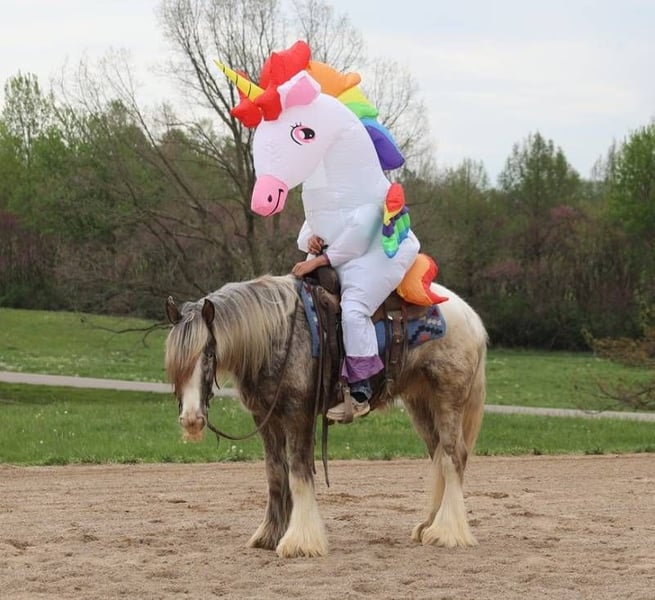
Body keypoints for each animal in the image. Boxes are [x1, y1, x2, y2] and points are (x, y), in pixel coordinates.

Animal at [165, 273, 487, 557]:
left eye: (208, 354)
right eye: (172, 363)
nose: (191, 420)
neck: (276, 336)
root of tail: (471, 317)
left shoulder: (298, 414)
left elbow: (299, 473)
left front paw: (300, 541)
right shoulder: (266, 418)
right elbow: (276, 473)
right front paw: (270, 535)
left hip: (447, 400)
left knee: (452, 457)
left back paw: (446, 532)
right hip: (420, 403)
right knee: (439, 457)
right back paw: (429, 525)